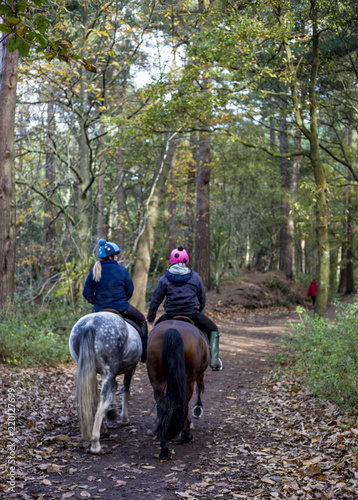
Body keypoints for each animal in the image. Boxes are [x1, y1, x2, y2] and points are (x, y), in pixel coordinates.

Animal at [68, 312, 141, 454]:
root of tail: (90, 323)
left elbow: (114, 388)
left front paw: (112, 410)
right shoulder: (130, 370)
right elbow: (125, 391)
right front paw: (124, 419)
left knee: (94, 400)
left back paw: (102, 430)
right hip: (108, 372)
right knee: (102, 403)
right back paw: (95, 444)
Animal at [145, 318, 210, 458]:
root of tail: (172, 330)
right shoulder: (200, 374)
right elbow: (200, 389)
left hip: (156, 377)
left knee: (161, 403)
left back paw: (164, 445)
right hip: (188, 379)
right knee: (184, 402)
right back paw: (184, 436)